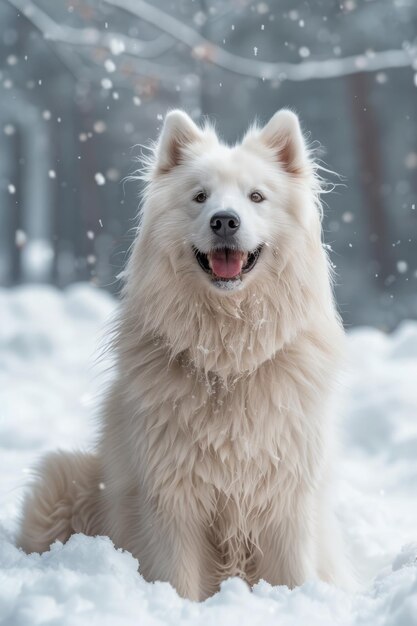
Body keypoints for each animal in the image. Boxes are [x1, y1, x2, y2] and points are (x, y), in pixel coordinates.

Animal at [19, 109, 352, 596]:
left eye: (256, 196)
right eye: (200, 197)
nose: (225, 221)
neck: (228, 358)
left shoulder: (285, 494)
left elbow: (290, 575)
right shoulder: (172, 499)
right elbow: (178, 580)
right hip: (60, 478)